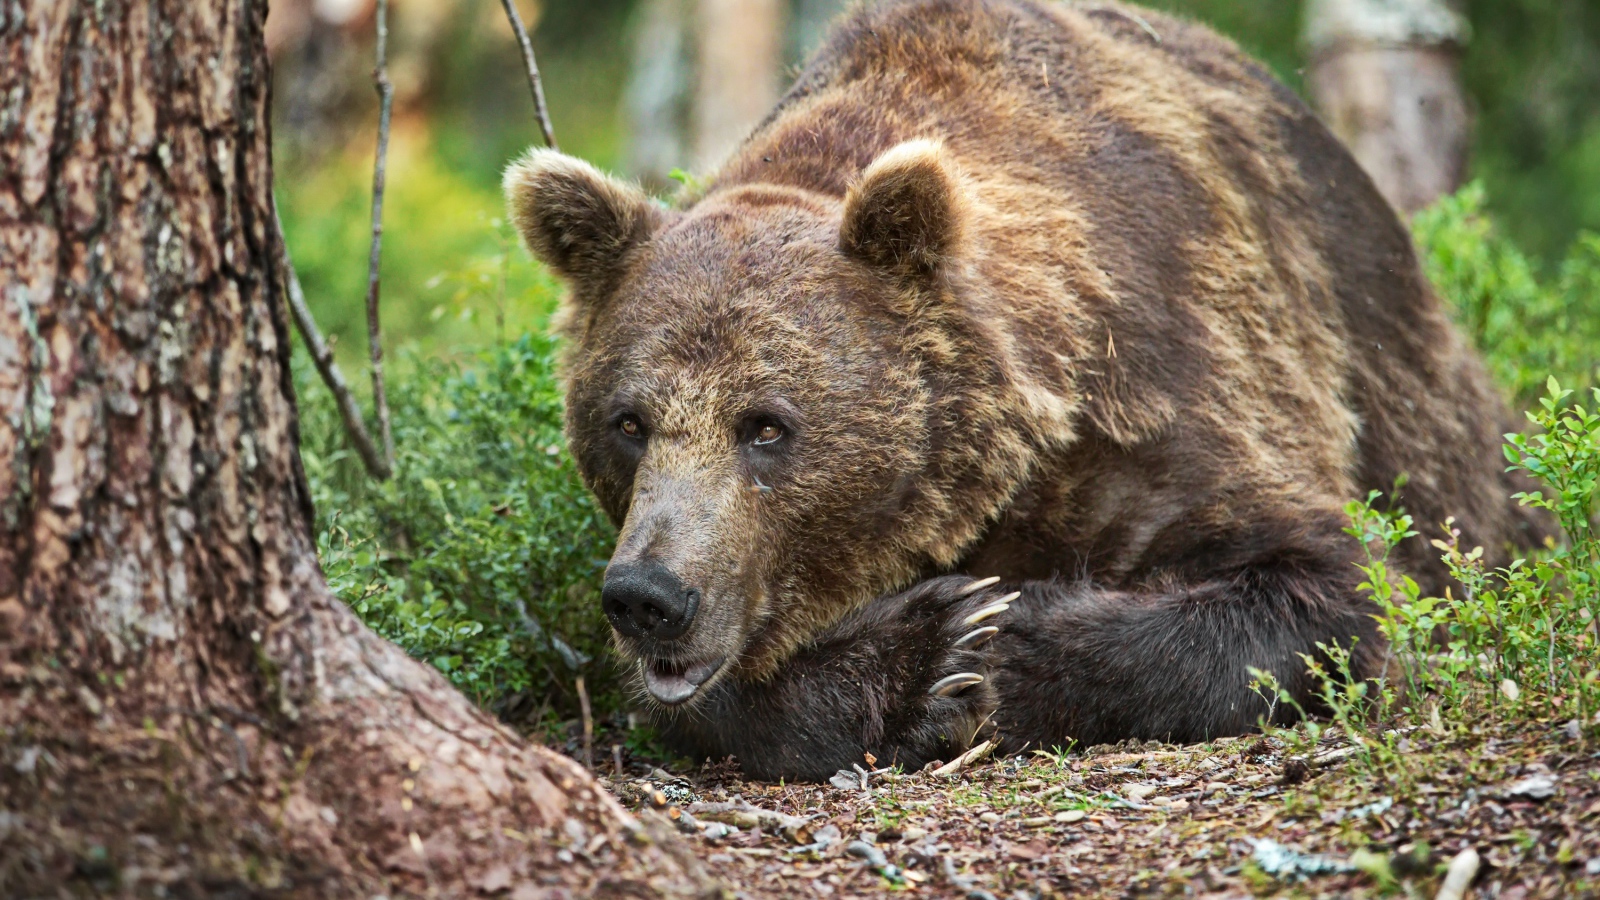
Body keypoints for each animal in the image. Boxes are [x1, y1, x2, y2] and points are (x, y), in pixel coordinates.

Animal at [504, 0, 1547, 781]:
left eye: (767, 425)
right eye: (629, 421)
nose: (651, 597)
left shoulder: (1172, 382)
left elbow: (1330, 587)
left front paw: (986, 636)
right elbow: (705, 694)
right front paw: (926, 658)